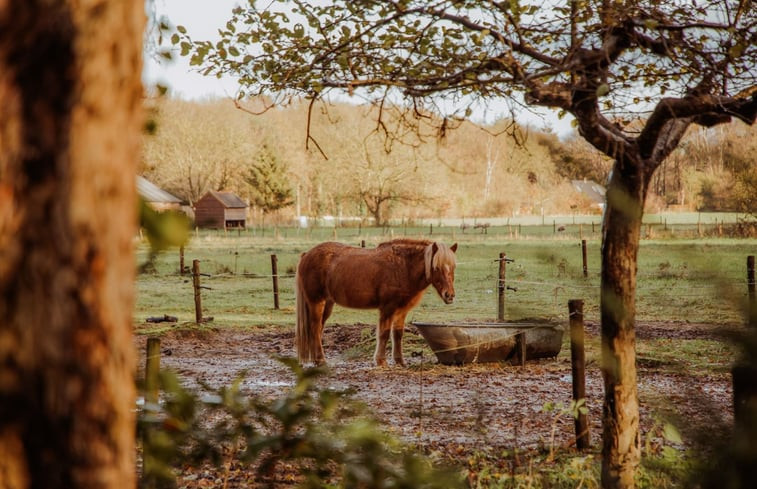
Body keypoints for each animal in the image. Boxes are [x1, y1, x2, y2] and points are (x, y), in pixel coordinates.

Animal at [296, 238, 458, 364]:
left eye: (453, 267)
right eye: (436, 267)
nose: (449, 295)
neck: (402, 267)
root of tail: (306, 255)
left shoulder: (402, 310)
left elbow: (397, 335)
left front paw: (400, 361)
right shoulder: (387, 308)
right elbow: (384, 334)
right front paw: (381, 361)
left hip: (327, 304)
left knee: (318, 329)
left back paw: (316, 359)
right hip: (317, 302)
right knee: (315, 329)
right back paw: (320, 360)